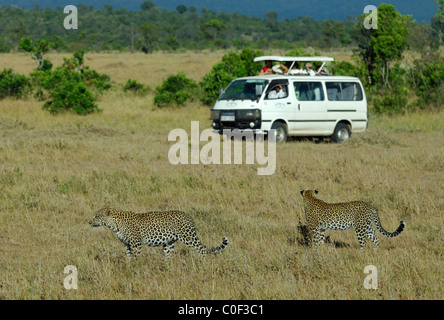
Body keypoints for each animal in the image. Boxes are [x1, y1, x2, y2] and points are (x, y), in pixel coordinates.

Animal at [90, 208, 229, 258]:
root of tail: (188, 216)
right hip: (169, 243)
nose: (89, 222)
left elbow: (135, 257)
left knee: (202, 249)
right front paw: (129, 269)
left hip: (188, 238)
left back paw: (202, 265)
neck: (114, 225)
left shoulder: (136, 243)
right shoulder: (127, 244)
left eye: (97, 216)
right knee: (168, 257)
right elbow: (130, 257)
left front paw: (135, 270)